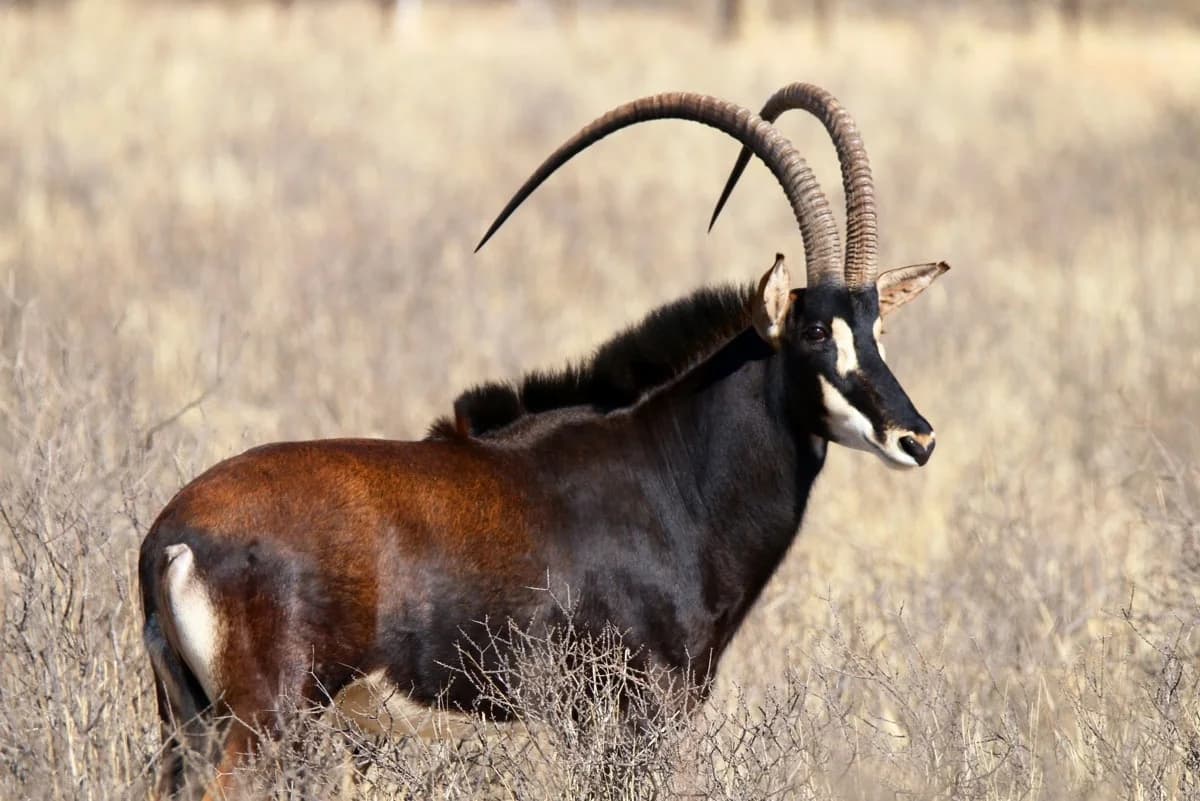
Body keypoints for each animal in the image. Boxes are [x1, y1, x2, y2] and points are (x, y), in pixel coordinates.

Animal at [140, 85, 948, 799]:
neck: (669, 472)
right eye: (814, 331)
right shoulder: (638, 708)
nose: (917, 437)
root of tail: (172, 539)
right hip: (259, 722)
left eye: (877, 327)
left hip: (188, 723)